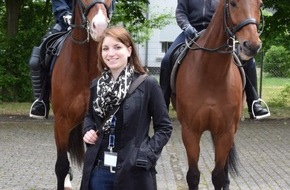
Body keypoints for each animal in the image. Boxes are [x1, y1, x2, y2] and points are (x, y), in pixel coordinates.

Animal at [176, 0, 264, 190]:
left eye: (260, 4)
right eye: (233, 3)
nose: (252, 45)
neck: (211, 73)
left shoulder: (226, 131)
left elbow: (218, 176)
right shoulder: (190, 131)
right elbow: (193, 176)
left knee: (224, 171)